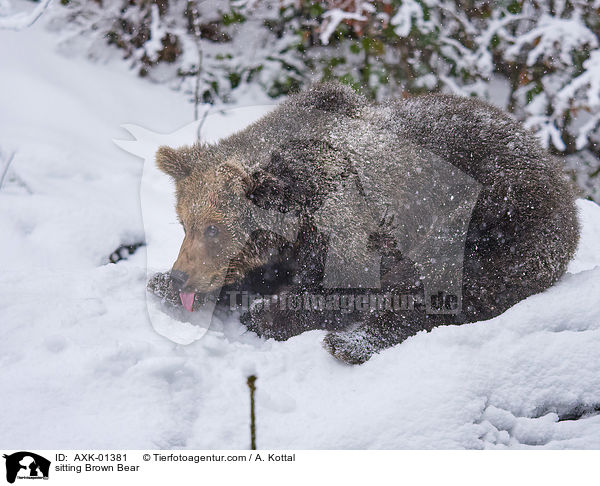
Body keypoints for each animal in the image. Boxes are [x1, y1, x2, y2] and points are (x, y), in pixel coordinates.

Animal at [148, 81, 580, 364]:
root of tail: (557, 173)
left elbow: (344, 286)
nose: (180, 276)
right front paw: (163, 283)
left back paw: (350, 344)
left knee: (441, 283)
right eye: (184, 223)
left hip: (497, 220)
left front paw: (262, 313)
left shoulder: (351, 220)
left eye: (214, 228)